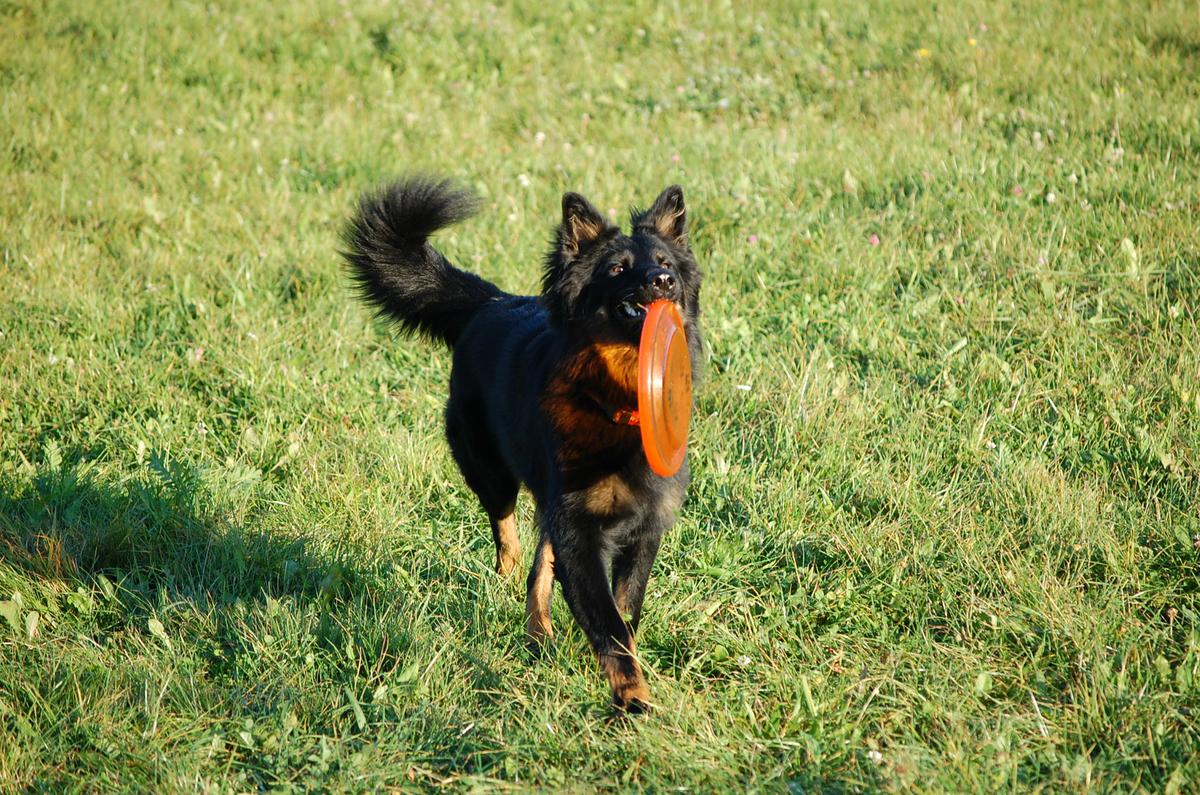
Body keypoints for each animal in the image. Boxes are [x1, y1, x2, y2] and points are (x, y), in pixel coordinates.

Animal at [343, 177, 700, 710]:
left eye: (665, 263)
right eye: (617, 269)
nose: (663, 283)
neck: (613, 399)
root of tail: (492, 302)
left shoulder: (644, 527)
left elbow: (625, 609)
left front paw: (626, 682)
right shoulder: (577, 527)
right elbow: (610, 626)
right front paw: (633, 699)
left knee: (539, 565)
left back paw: (538, 633)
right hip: (489, 466)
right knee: (507, 533)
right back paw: (513, 586)